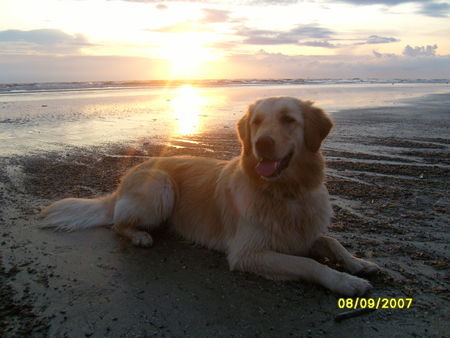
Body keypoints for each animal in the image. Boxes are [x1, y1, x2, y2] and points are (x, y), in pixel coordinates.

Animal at [41, 96, 380, 294]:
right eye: (257, 122)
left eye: (288, 119)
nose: (262, 144)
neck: (286, 191)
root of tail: (124, 179)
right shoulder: (249, 253)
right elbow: (310, 264)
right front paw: (346, 282)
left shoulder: (302, 233)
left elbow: (331, 241)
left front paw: (358, 263)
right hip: (160, 186)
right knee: (118, 225)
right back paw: (139, 235)